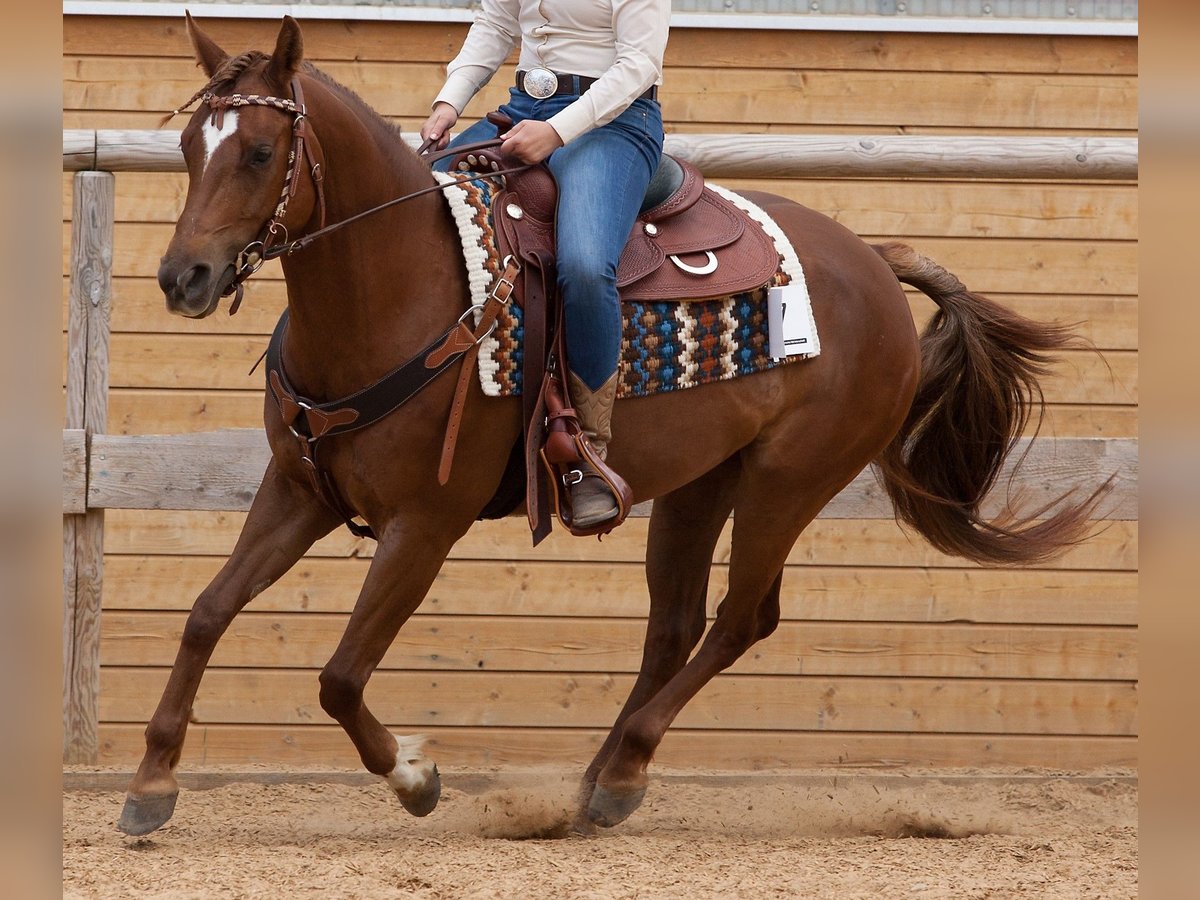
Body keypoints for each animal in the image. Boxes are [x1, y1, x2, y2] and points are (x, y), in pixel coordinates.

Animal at [117, 15, 1099, 840]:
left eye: (257, 151)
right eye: (189, 146)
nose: (182, 277)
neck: (397, 287)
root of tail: (873, 260)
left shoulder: (424, 525)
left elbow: (340, 676)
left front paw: (414, 778)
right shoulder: (299, 490)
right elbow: (206, 614)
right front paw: (151, 783)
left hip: (790, 481)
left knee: (740, 620)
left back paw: (623, 774)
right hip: (704, 482)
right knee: (675, 625)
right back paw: (595, 780)